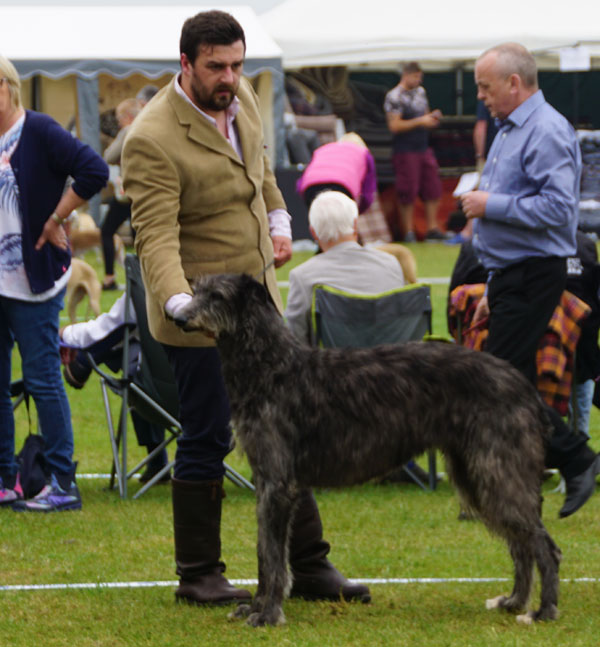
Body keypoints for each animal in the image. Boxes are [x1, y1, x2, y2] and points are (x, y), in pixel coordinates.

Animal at [175, 272, 564, 628]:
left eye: (217, 295)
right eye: (196, 290)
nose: (178, 318)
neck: (270, 365)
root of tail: (525, 387)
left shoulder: (277, 483)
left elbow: (272, 557)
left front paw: (268, 614)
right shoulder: (266, 480)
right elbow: (263, 551)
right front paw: (253, 607)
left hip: (496, 470)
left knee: (544, 545)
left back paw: (542, 611)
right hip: (477, 473)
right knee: (521, 543)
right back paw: (513, 601)